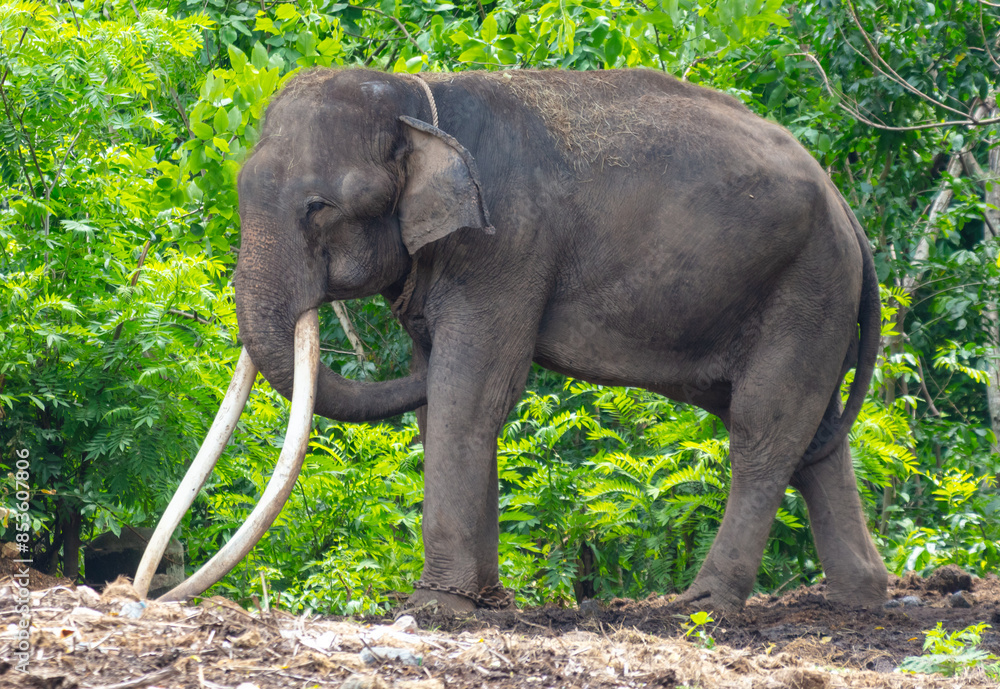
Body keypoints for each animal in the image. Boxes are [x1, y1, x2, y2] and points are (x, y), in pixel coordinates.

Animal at [135, 66, 892, 612]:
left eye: (319, 207)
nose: (140, 595)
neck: (419, 97)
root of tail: (848, 212)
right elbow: (441, 400)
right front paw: (484, 599)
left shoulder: (506, 247)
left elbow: (471, 391)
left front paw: (437, 608)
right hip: (803, 295)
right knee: (812, 433)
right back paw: (861, 596)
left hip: (807, 286)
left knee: (765, 429)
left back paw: (702, 604)